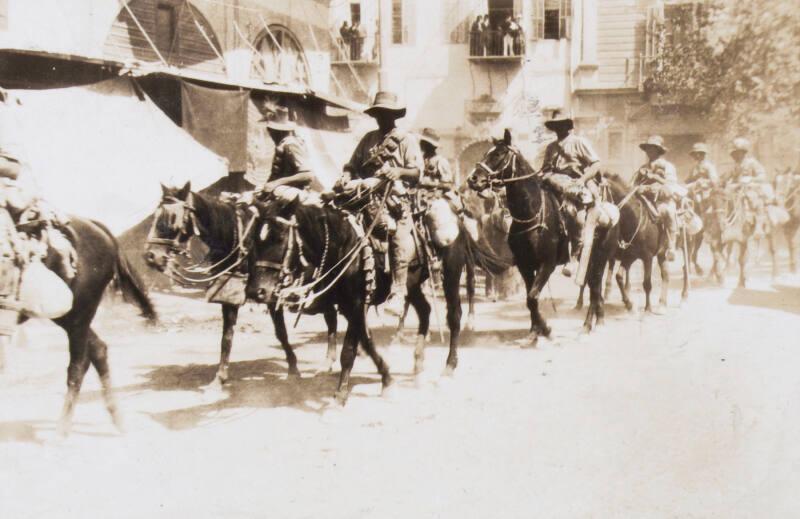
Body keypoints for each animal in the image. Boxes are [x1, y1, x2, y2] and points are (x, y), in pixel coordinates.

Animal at [7, 217, 158, 436]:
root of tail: (94, 225)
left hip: (79, 315)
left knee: (77, 367)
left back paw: (61, 432)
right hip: (70, 318)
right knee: (97, 350)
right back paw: (117, 418)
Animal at [144, 183, 338, 386]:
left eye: (172, 218)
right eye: (156, 216)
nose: (151, 256)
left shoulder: (269, 293)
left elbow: (280, 332)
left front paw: (293, 368)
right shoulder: (230, 294)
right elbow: (227, 335)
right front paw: (220, 377)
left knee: (331, 316)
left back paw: (328, 363)